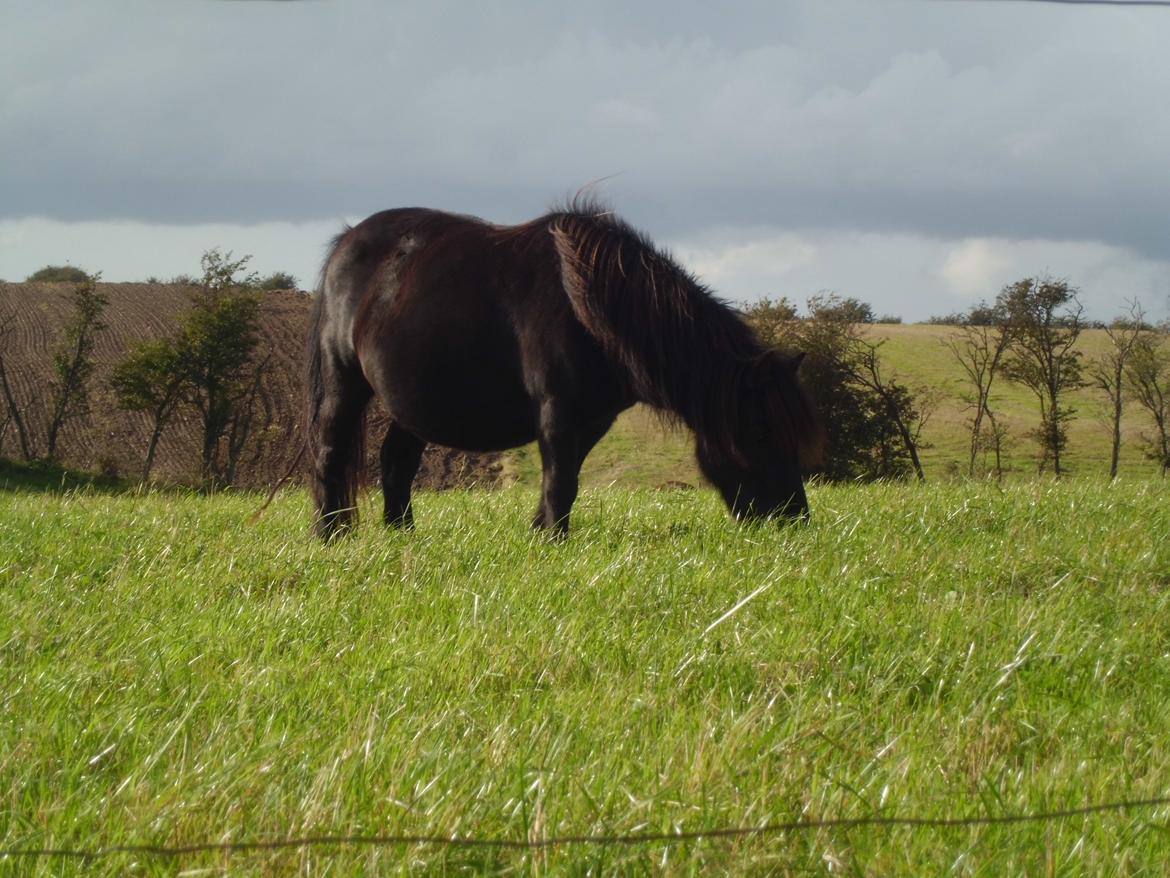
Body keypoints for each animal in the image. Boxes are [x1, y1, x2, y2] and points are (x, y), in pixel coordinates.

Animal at [306, 202, 828, 540]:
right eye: (759, 433)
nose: (794, 520)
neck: (591, 309)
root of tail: (346, 241)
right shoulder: (558, 411)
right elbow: (560, 479)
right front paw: (553, 541)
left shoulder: (593, 419)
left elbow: (569, 476)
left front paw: (541, 531)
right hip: (345, 382)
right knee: (330, 452)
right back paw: (331, 535)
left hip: (414, 404)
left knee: (396, 462)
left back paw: (402, 536)